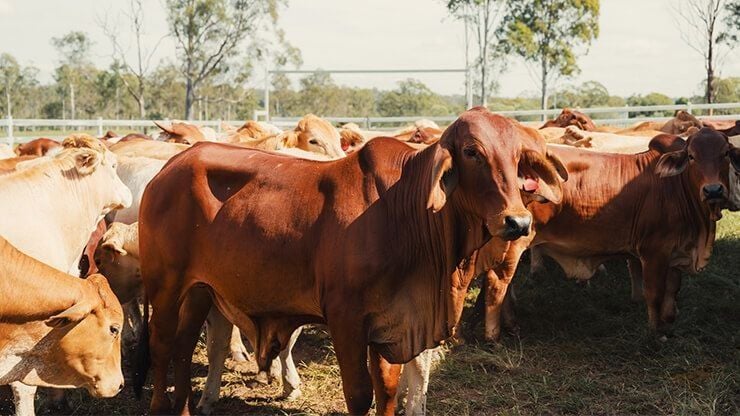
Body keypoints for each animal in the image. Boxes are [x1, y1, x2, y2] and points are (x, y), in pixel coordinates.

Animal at [134, 107, 567, 415]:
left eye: (518, 157)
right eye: (473, 152)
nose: (517, 221)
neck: (404, 212)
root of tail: (170, 166)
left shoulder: (393, 323)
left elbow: (387, 391)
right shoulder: (346, 319)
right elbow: (360, 394)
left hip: (200, 291)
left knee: (184, 347)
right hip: (165, 286)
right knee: (162, 343)